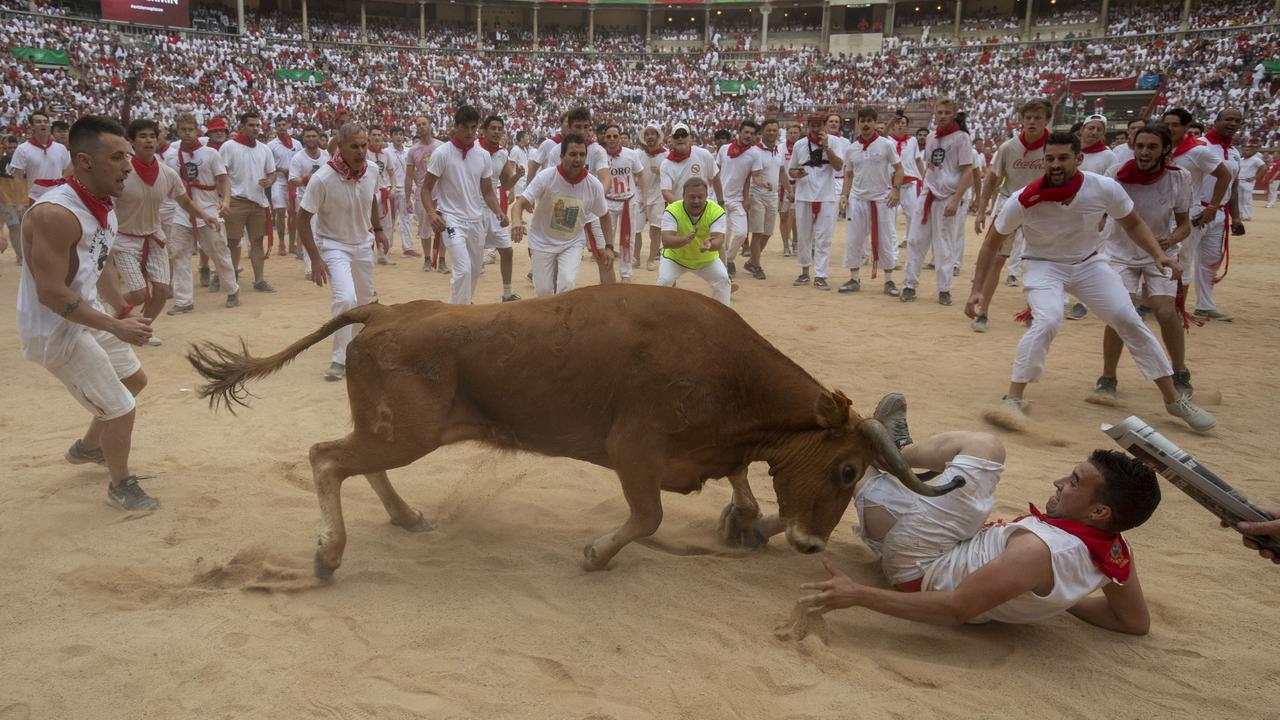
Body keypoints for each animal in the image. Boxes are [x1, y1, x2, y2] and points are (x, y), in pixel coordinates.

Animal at [189, 283, 962, 573]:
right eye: (846, 469)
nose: (810, 545)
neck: (728, 374)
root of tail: (384, 309)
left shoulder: (711, 453)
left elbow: (740, 482)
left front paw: (742, 523)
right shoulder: (634, 451)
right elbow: (647, 517)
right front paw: (596, 553)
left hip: (395, 430)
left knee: (359, 462)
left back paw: (406, 517)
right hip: (404, 432)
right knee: (326, 458)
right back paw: (328, 553)